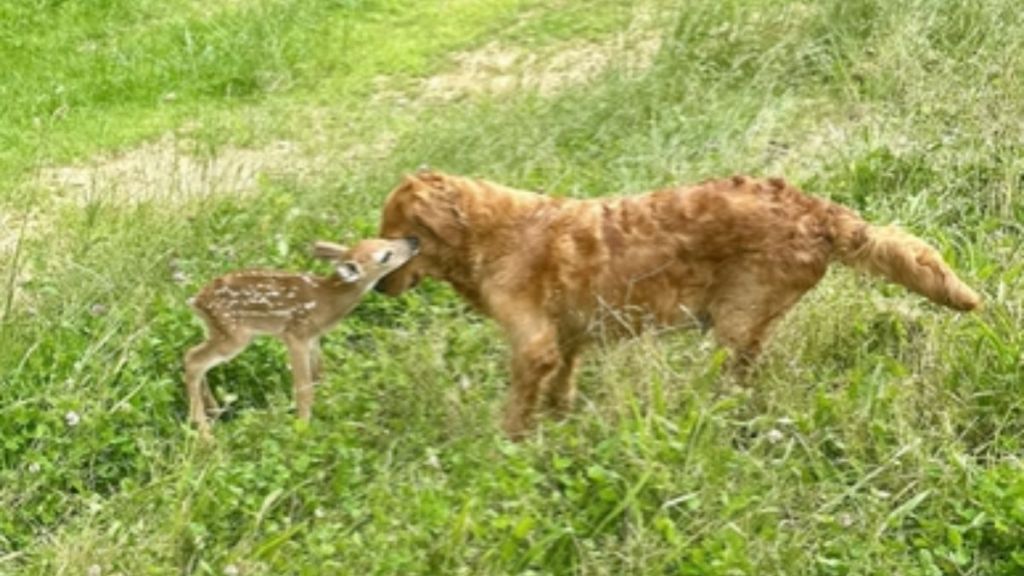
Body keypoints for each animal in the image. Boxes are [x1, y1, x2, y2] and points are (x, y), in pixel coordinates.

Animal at [374, 169, 974, 434]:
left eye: (397, 235)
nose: (376, 285)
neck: (493, 234)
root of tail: (818, 212)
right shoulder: (567, 335)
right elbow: (563, 380)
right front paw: (561, 417)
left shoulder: (532, 345)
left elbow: (519, 404)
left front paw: (511, 443)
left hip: (736, 318)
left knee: (739, 380)